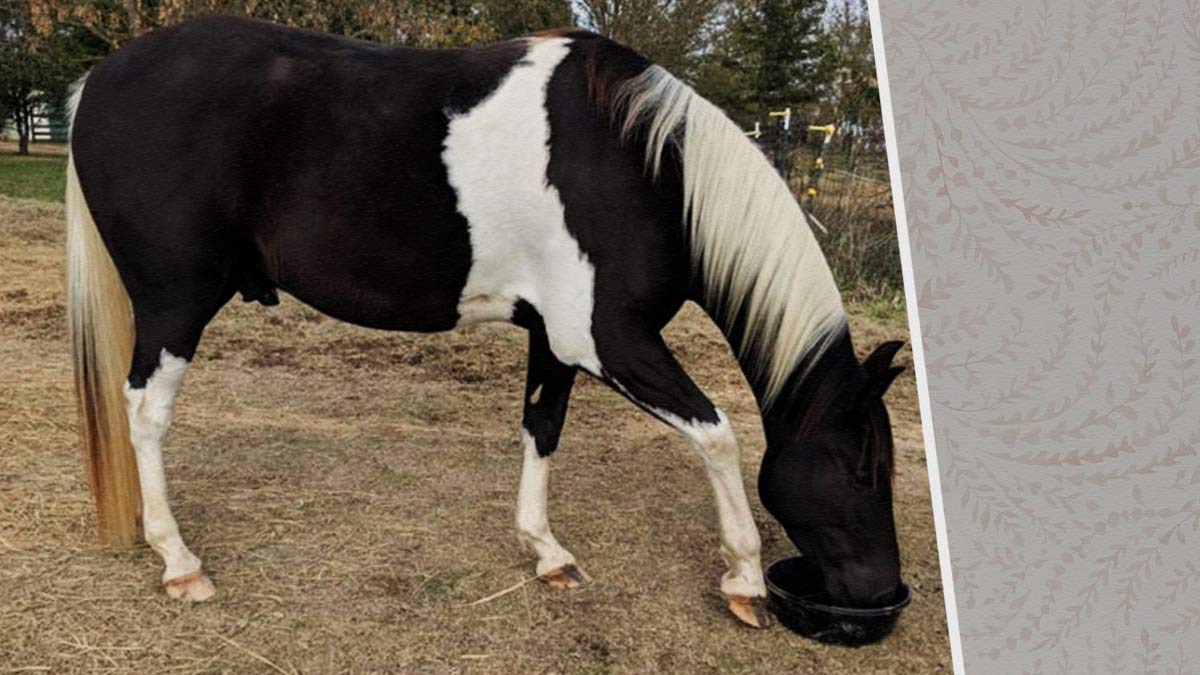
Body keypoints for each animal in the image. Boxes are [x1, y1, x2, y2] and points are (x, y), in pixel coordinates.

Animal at [65, 15, 902, 624]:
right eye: (863, 466)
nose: (878, 592)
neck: (641, 166)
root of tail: (96, 80)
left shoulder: (557, 340)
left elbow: (542, 429)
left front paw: (548, 552)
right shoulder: (610, 340)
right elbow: (719, 434)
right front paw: (745, 579)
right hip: (174, 303)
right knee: (146, 412)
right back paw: (180, 562)